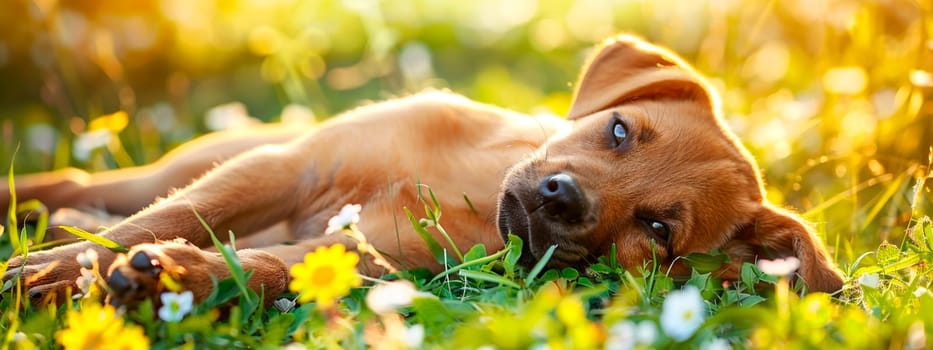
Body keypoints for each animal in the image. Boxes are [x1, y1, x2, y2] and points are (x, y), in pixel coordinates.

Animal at [0, 34, 844, 304]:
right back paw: (47, 207)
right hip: (213, 156)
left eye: (658, 229)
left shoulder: (368, 255)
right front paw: (45, 270)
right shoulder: (290, 168)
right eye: (618, 131)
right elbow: (170, 219)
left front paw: (170, 276)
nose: (560, 197)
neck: (465, 184)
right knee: (100, 190)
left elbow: (263, 267)